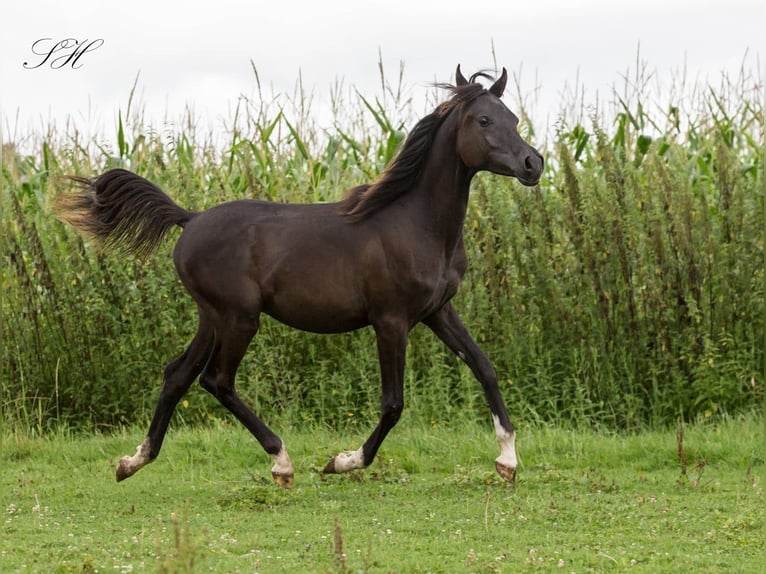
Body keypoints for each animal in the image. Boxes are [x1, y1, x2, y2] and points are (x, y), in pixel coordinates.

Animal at [55, 67, 544, 490]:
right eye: (484, 120)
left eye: (514, 118)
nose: (533, 164)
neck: (415, 223)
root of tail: (189, 219)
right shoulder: (390, 321)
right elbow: (393, 403)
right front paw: (342, 461)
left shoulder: (437, 311)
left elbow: (484, 367)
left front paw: (507, 460)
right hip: (239, 317)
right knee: (217, 380)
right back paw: (281, 462)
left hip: (212, 317)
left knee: (178, 374)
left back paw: (132, 461)